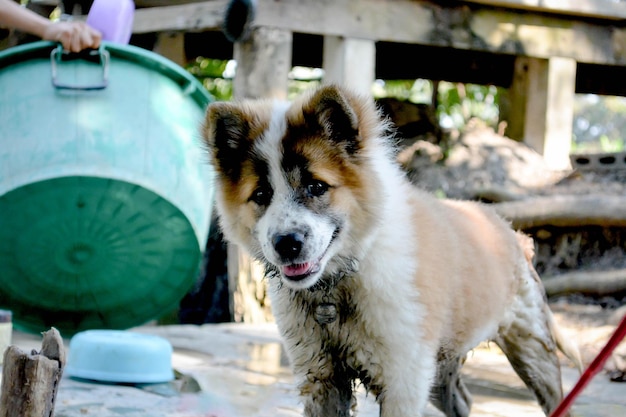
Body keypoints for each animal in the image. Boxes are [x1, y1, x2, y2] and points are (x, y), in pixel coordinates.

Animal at [200, 83, 580, 414]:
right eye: (261, 195)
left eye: (316, 186)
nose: (286, 244)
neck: (341, 283)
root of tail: (508, 230)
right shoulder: (322, 377)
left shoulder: (404, 380)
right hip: (441, 367)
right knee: (463, 401)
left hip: (532, 350)